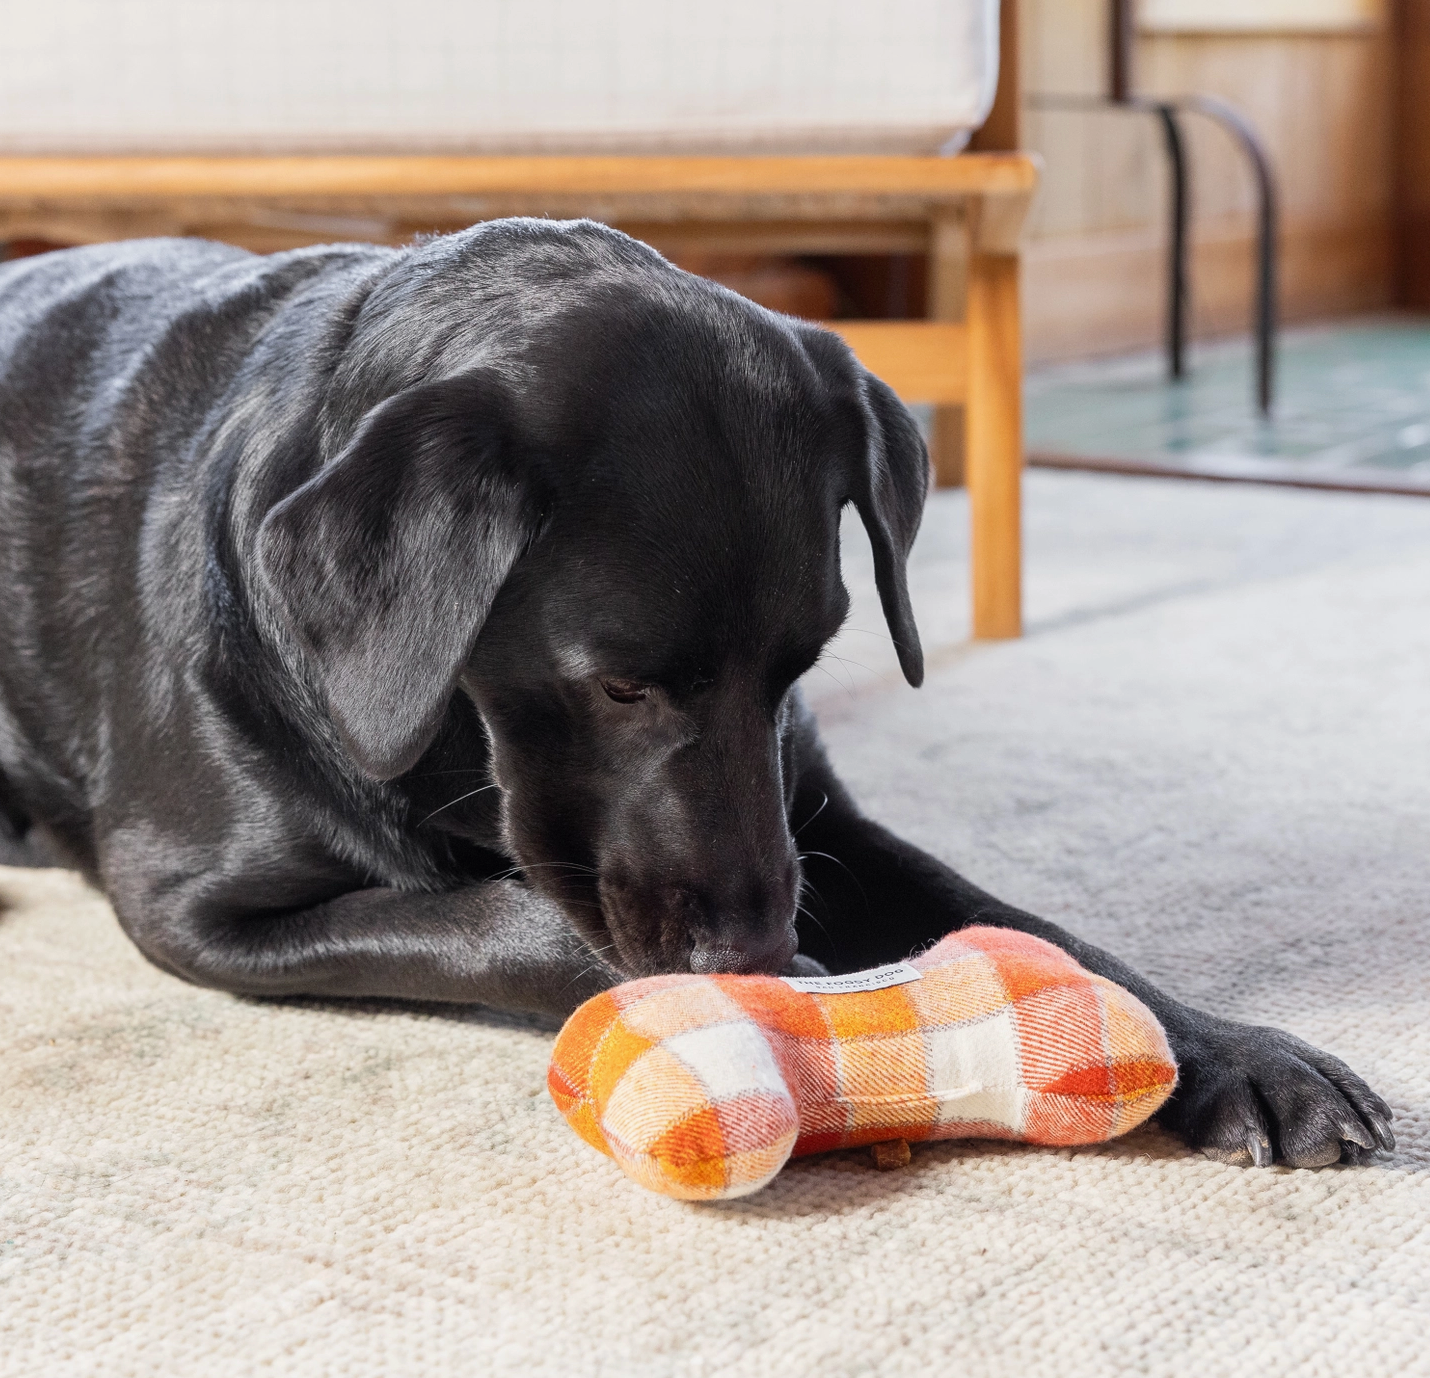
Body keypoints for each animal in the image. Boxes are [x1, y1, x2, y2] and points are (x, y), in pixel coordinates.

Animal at [0, 220, 1384, 1166]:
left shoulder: (818, 812)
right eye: (617, 684)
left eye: (802, 663)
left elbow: (1041, 931)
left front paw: (1243, 1053)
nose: (756, 951)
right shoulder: (192, 905)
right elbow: (508, 925)